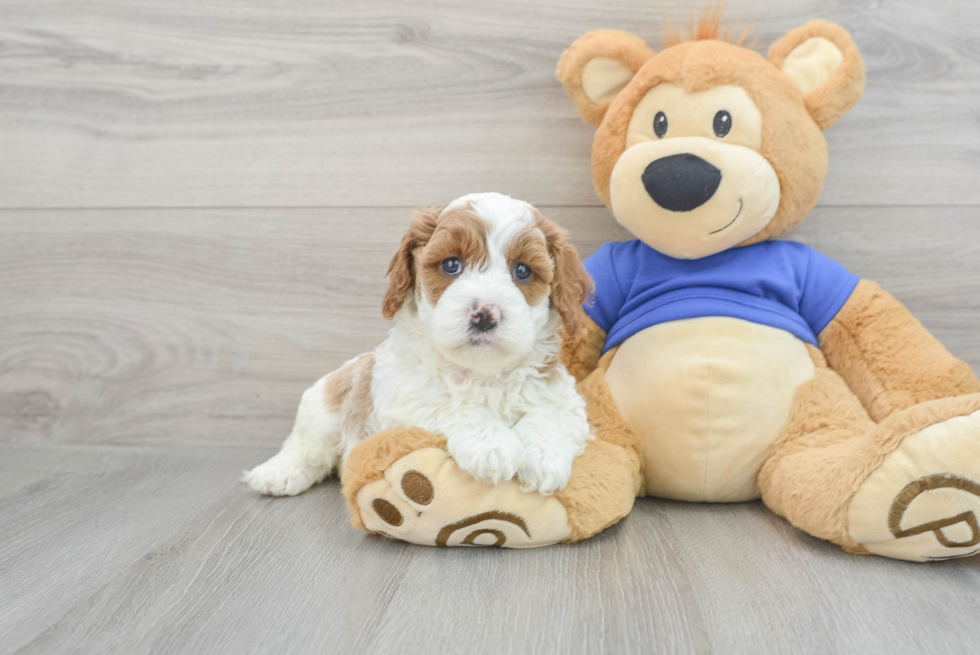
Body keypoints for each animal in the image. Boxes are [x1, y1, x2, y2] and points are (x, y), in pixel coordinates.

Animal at [245, 193, 596, 498]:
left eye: (522, 270)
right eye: (451, 265)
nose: (484, 315)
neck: (481, 372)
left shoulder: (563, 399)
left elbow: (551, 417)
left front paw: (544, 459)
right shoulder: (405, 400)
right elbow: (450, 405)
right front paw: (491, 445)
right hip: (323, 408)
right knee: (306, 449)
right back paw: (278, 474)